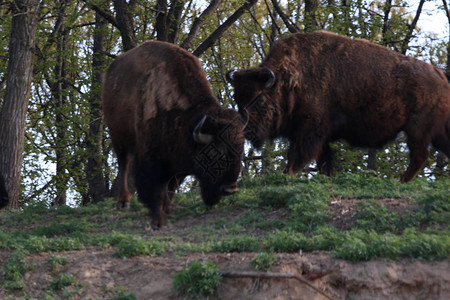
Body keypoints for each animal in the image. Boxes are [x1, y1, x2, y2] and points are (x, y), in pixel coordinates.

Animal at [103, 40, 246, 227]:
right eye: (213, 152)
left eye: (240, 150)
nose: (230, 189)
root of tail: (111, 72)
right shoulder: (153, 158)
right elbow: (158, 188)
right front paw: (158, 219)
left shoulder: (179, 163)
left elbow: (171, 187)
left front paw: (166, 209)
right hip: (118, 136)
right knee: (124, 164)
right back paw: (124, 201)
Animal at [229, 30, 450, 182]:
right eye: (236, 98)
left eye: (259, 99)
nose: (247, 130)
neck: (290, 80)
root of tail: (441, 76)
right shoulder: (318, 137)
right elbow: (324, 161)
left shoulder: (309, 132)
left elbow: (297, 156)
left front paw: (287, 175)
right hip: (436, 133)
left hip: (417, 130)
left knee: (419, 156)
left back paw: (400, 181)